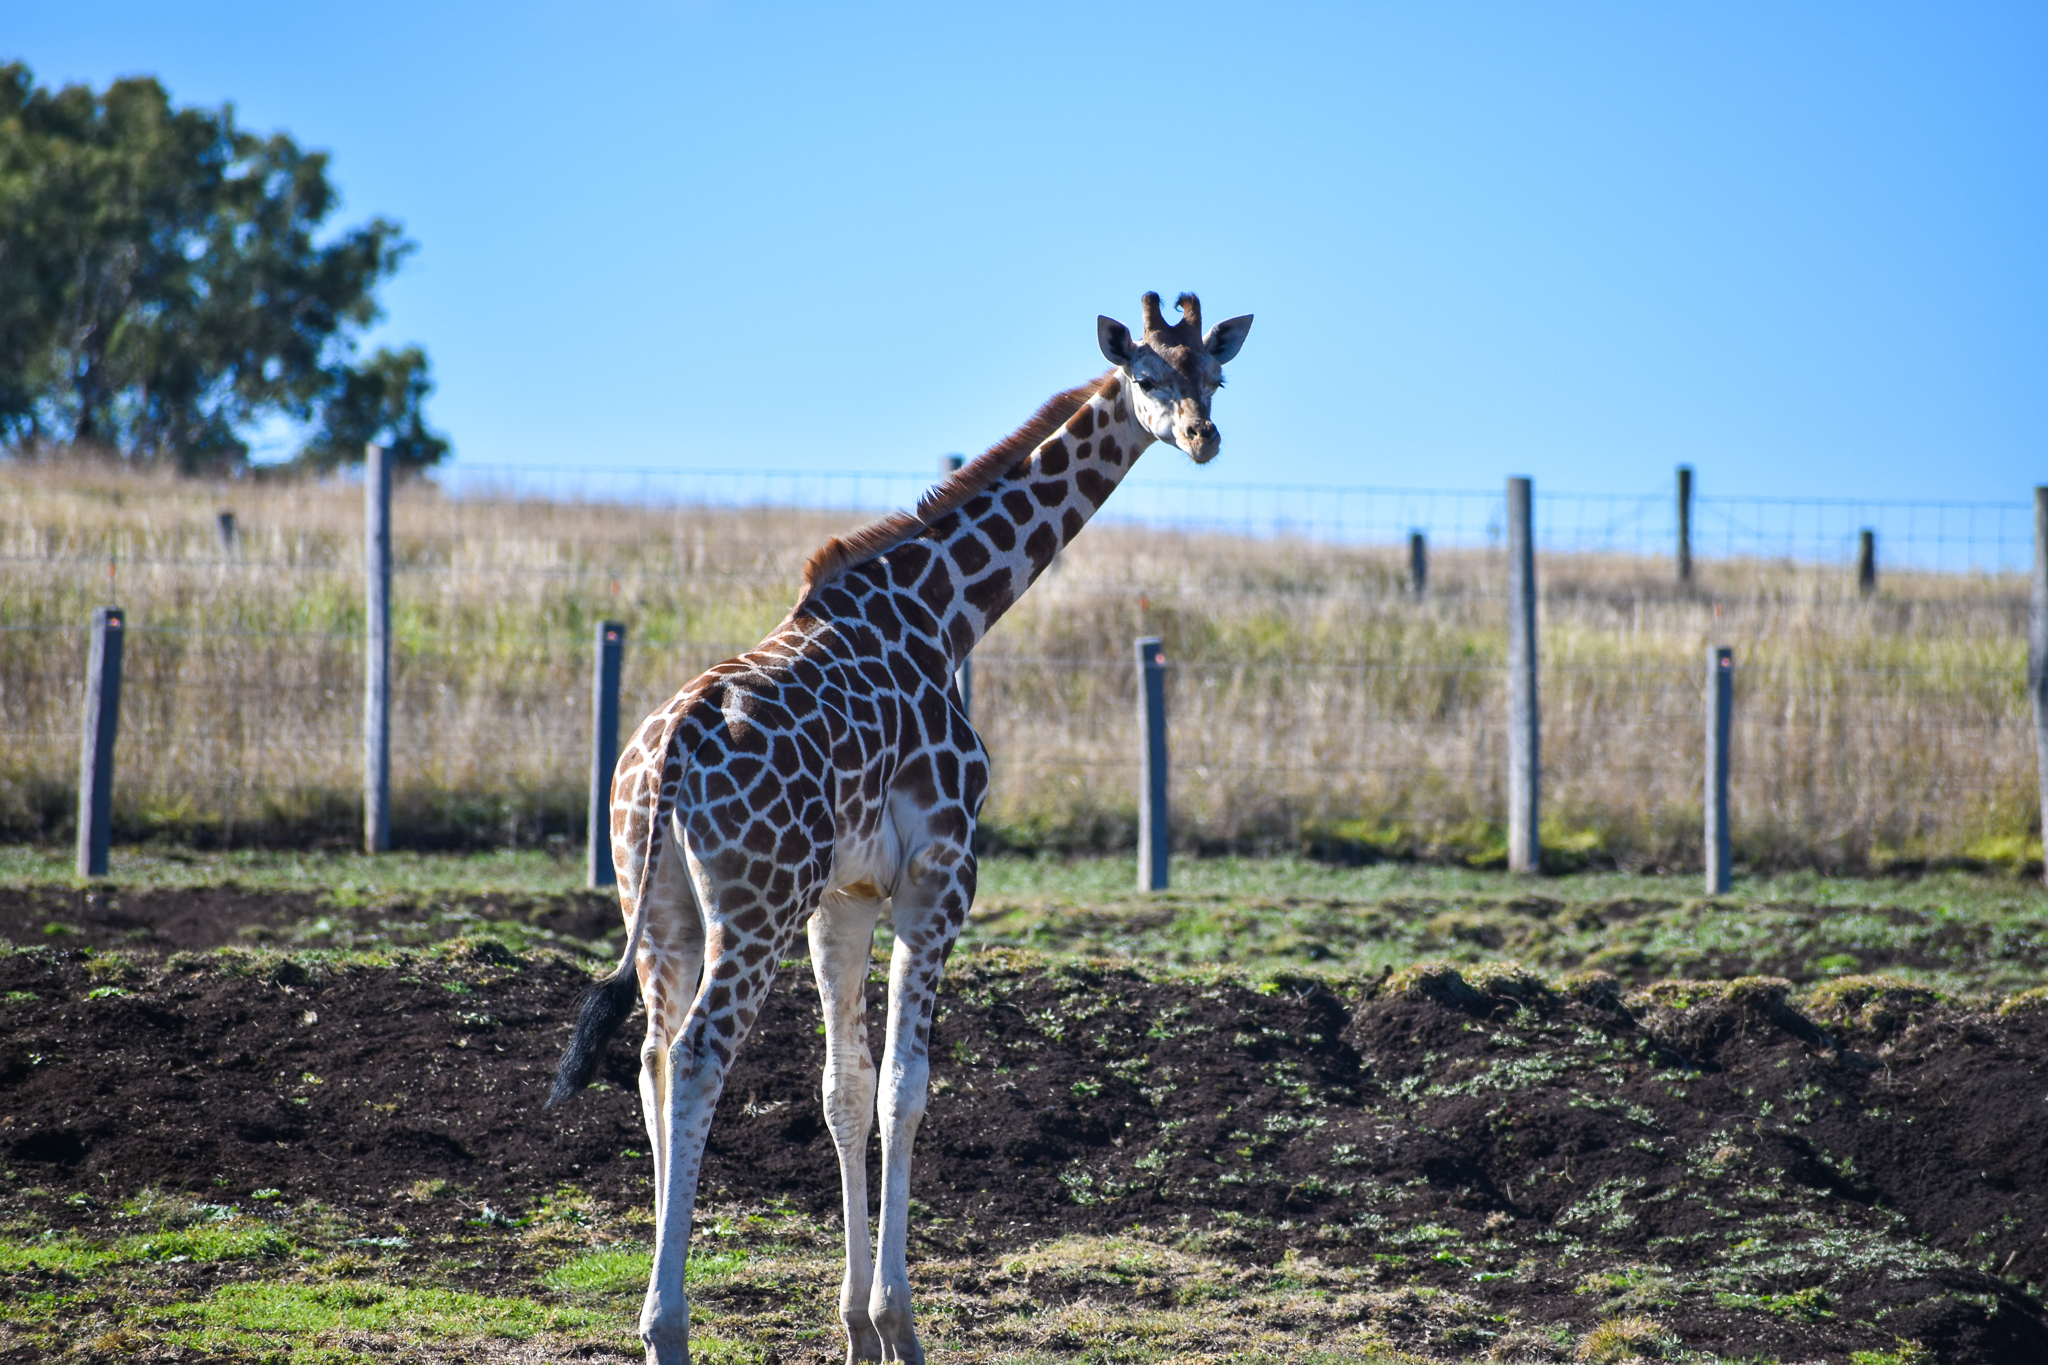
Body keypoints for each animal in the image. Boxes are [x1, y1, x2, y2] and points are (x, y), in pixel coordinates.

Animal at [548, 292, 1253, 1365]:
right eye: (1147, 374)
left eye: (1213, 374)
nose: (1204, 436)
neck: (946, 610)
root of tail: (667, 752)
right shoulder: (941, 875)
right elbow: (903, 1088)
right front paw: (900, 1325)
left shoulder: (843, 897)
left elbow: (843, 1087)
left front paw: (854, 1330)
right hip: (751, 906)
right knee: (701, 1054)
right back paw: (667, 1327)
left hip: (662, 902)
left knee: (653, 1059)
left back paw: (658, 1313)